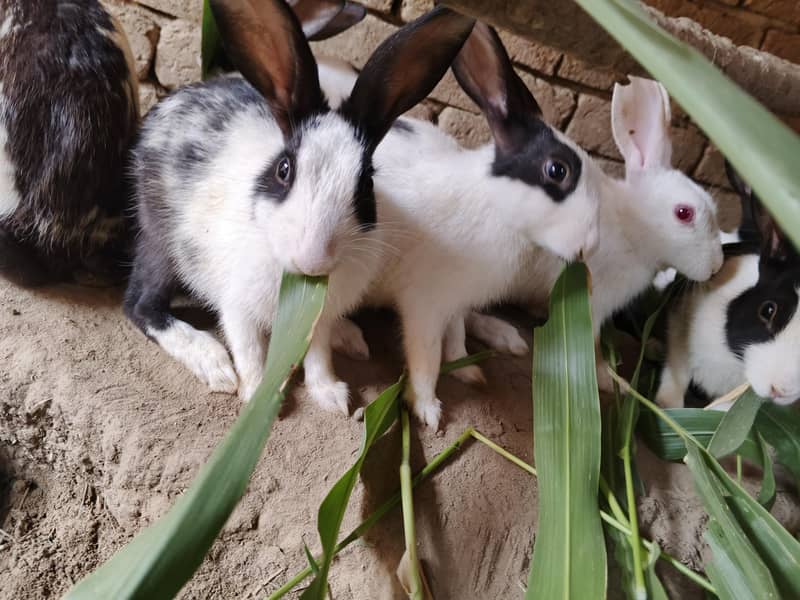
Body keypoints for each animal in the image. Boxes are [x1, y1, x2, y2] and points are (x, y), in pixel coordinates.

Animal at [123, 0, 476, 412]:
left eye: (366, 183)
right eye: (284, 170)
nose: (313, 259)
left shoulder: (316, 320)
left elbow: (318, 354)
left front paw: (331, 396)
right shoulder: (237, 306)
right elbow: (249, 351)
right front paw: (256, 397)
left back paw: (349, 337)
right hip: (161, 242)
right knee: (141, 304)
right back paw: (213, 363)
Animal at [324, 22, 603, 428]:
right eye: (557, 170)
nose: (591, 245)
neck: (495, 206)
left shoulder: (454, 301)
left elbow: (454, 335)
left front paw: (466, 369)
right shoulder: (425, 304)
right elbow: (426, 356)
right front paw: (428, 410)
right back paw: (348, 338)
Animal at [443, 77, 724, 392]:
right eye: (684, 213)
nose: (716, 266)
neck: (632, 227)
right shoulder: (594, 303)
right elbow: (595, 346)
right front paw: (612, 382)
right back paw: (504, 337)